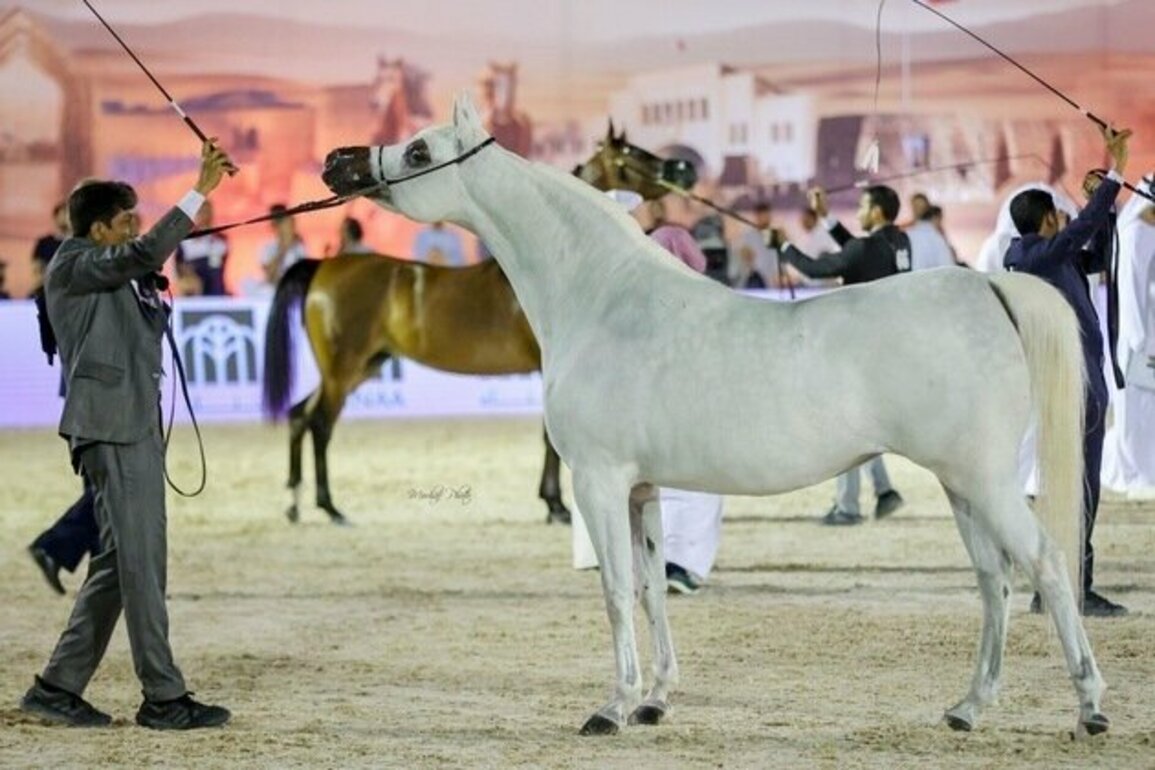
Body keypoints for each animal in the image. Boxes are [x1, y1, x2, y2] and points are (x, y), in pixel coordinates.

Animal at [262, 254, 570, 526]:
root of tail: (323, 266)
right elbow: (551, 438)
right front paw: (557, 507)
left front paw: (554, 505)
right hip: (341, 373)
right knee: (320, 425)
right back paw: (331, 509)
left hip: (358, 369)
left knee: (299, 414)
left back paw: (294, 504)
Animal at [320, 94, 1109, 739]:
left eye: (420, 152)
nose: (337, 161)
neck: (601, 297)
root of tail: (987, 289)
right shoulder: (639, 489)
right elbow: (649, 590)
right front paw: (654, 699)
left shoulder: (598, 481)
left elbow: (614, 591)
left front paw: (612, 707)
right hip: (961, 485)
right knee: (992, 580)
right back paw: (968, 707)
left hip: (984, 481)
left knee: (1044, 564)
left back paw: (1090, 708)